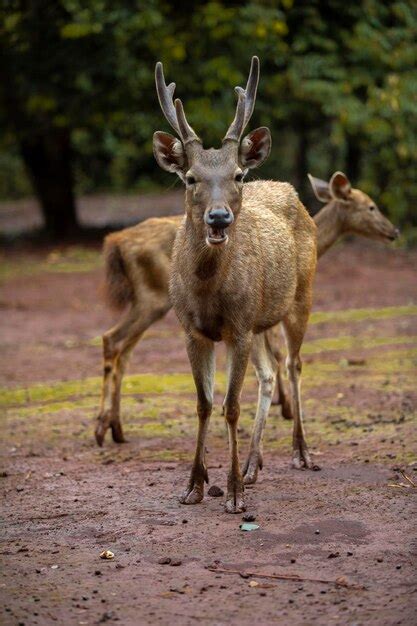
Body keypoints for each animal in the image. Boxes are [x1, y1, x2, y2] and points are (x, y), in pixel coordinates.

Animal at [94, 168, 396, 454]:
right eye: (370, 206)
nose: (394, 232)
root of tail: (116, 242)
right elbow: (278, 354)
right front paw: (285, 407)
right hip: (153, 297)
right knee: (113, 339)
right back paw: (102, 428)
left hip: (147, 300)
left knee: (121, 348)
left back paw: (115, 428)